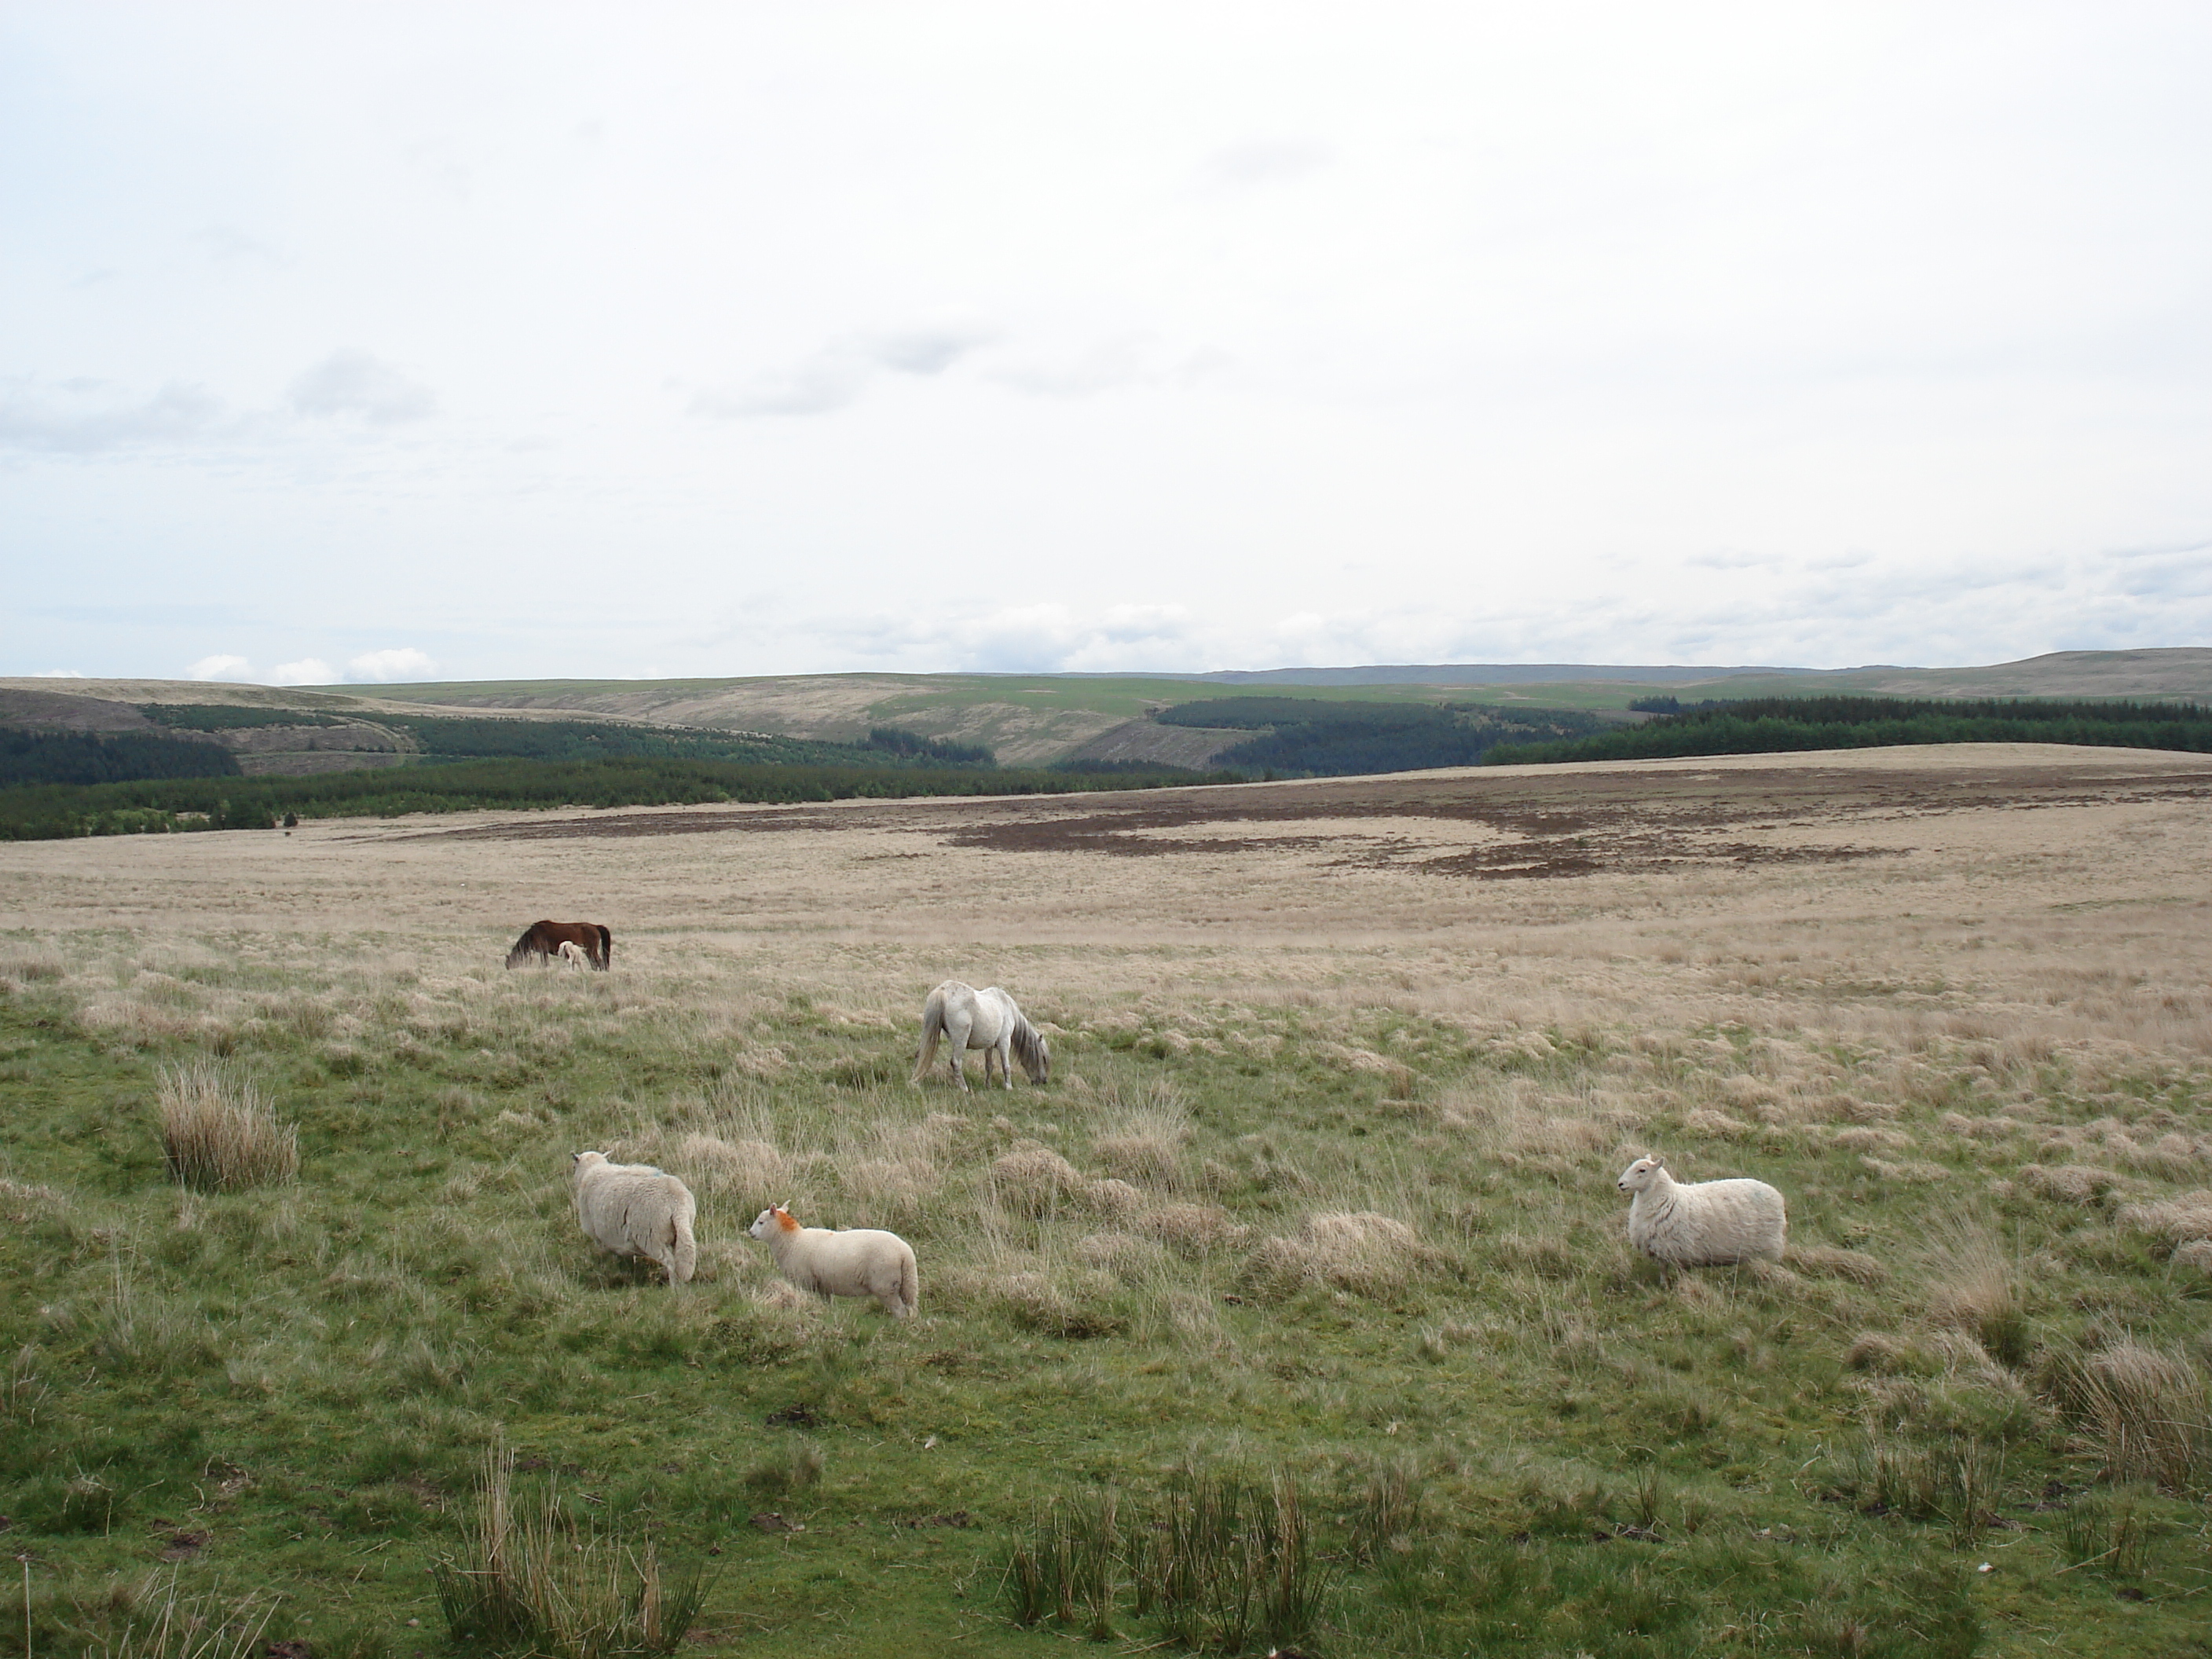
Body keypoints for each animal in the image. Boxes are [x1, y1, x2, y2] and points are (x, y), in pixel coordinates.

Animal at [500, 925, 606, 973]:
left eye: (509, 961)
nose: (507, 968)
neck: (533, 934)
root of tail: (595, 927)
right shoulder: (544, 952)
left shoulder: (543, 951)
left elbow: (545, 963)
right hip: (589, 952)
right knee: (594, 963)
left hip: (592, 950)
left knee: (599, 962)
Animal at [566, 1159, 694, 1283]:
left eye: (573, 1167)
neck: (592, 1170)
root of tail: (676, 1202)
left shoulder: (597, 1235)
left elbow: (606, 1254)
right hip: (678, 1233)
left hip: (651, 1235)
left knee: (669, 1261)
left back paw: (673, 1286)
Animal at [743, 1203, 915, 1318]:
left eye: (761, 1222)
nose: (750, 1233)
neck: (792, 1241)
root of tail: (905, 1253)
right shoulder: (823, 1286)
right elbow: (827, 1304)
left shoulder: (804, 1282)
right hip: (907, 1284)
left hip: (885, 1284)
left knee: (900, 1311)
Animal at [915, 982, 1053, 1097]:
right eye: (1044, 1058)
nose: (1044, 1081)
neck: (1006, 1006)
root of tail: (943, 990)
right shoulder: (1004, 1041)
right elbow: (1006, 1065)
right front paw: (1008, 1087)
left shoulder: (989, 1046)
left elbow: (989, 1066)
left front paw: (988, 1086)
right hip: (961, 1041)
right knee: (956, 1062)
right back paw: (964, 1088)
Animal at [1619, 1159, 1787, 1274]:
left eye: (1642, 1170)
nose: (1620, 1184)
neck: (1667, 1197)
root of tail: (1776, 1194)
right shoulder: (1660, 1251)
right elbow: (1663, 1274)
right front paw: (1664, 1288)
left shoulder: (1679, 1251)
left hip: (1770, 1248)